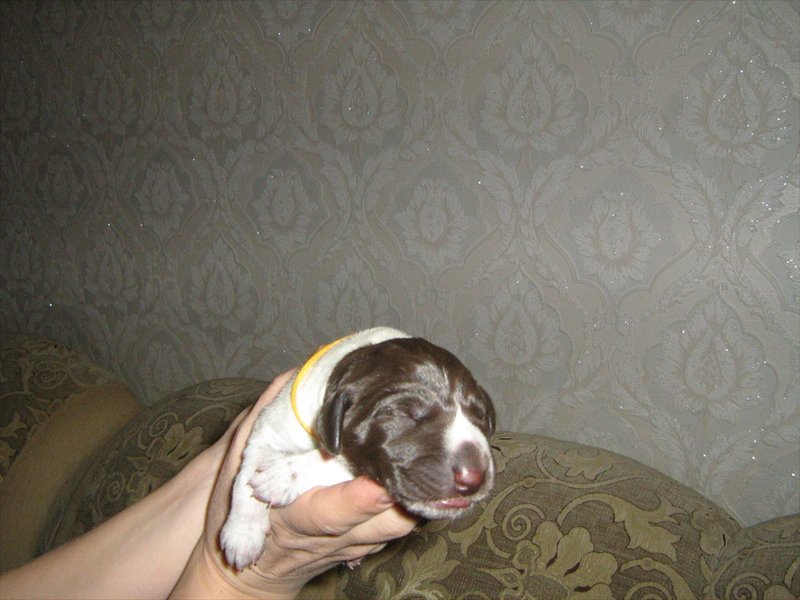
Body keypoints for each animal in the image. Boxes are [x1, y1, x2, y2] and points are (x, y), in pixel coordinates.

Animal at [220, 327, 496, 570]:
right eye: (406, 415)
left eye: (481, 417)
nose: (474, 479)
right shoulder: (273, 426)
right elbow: (248, 469)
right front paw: (242, 534)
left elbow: (335, 462)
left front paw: (284, 475)